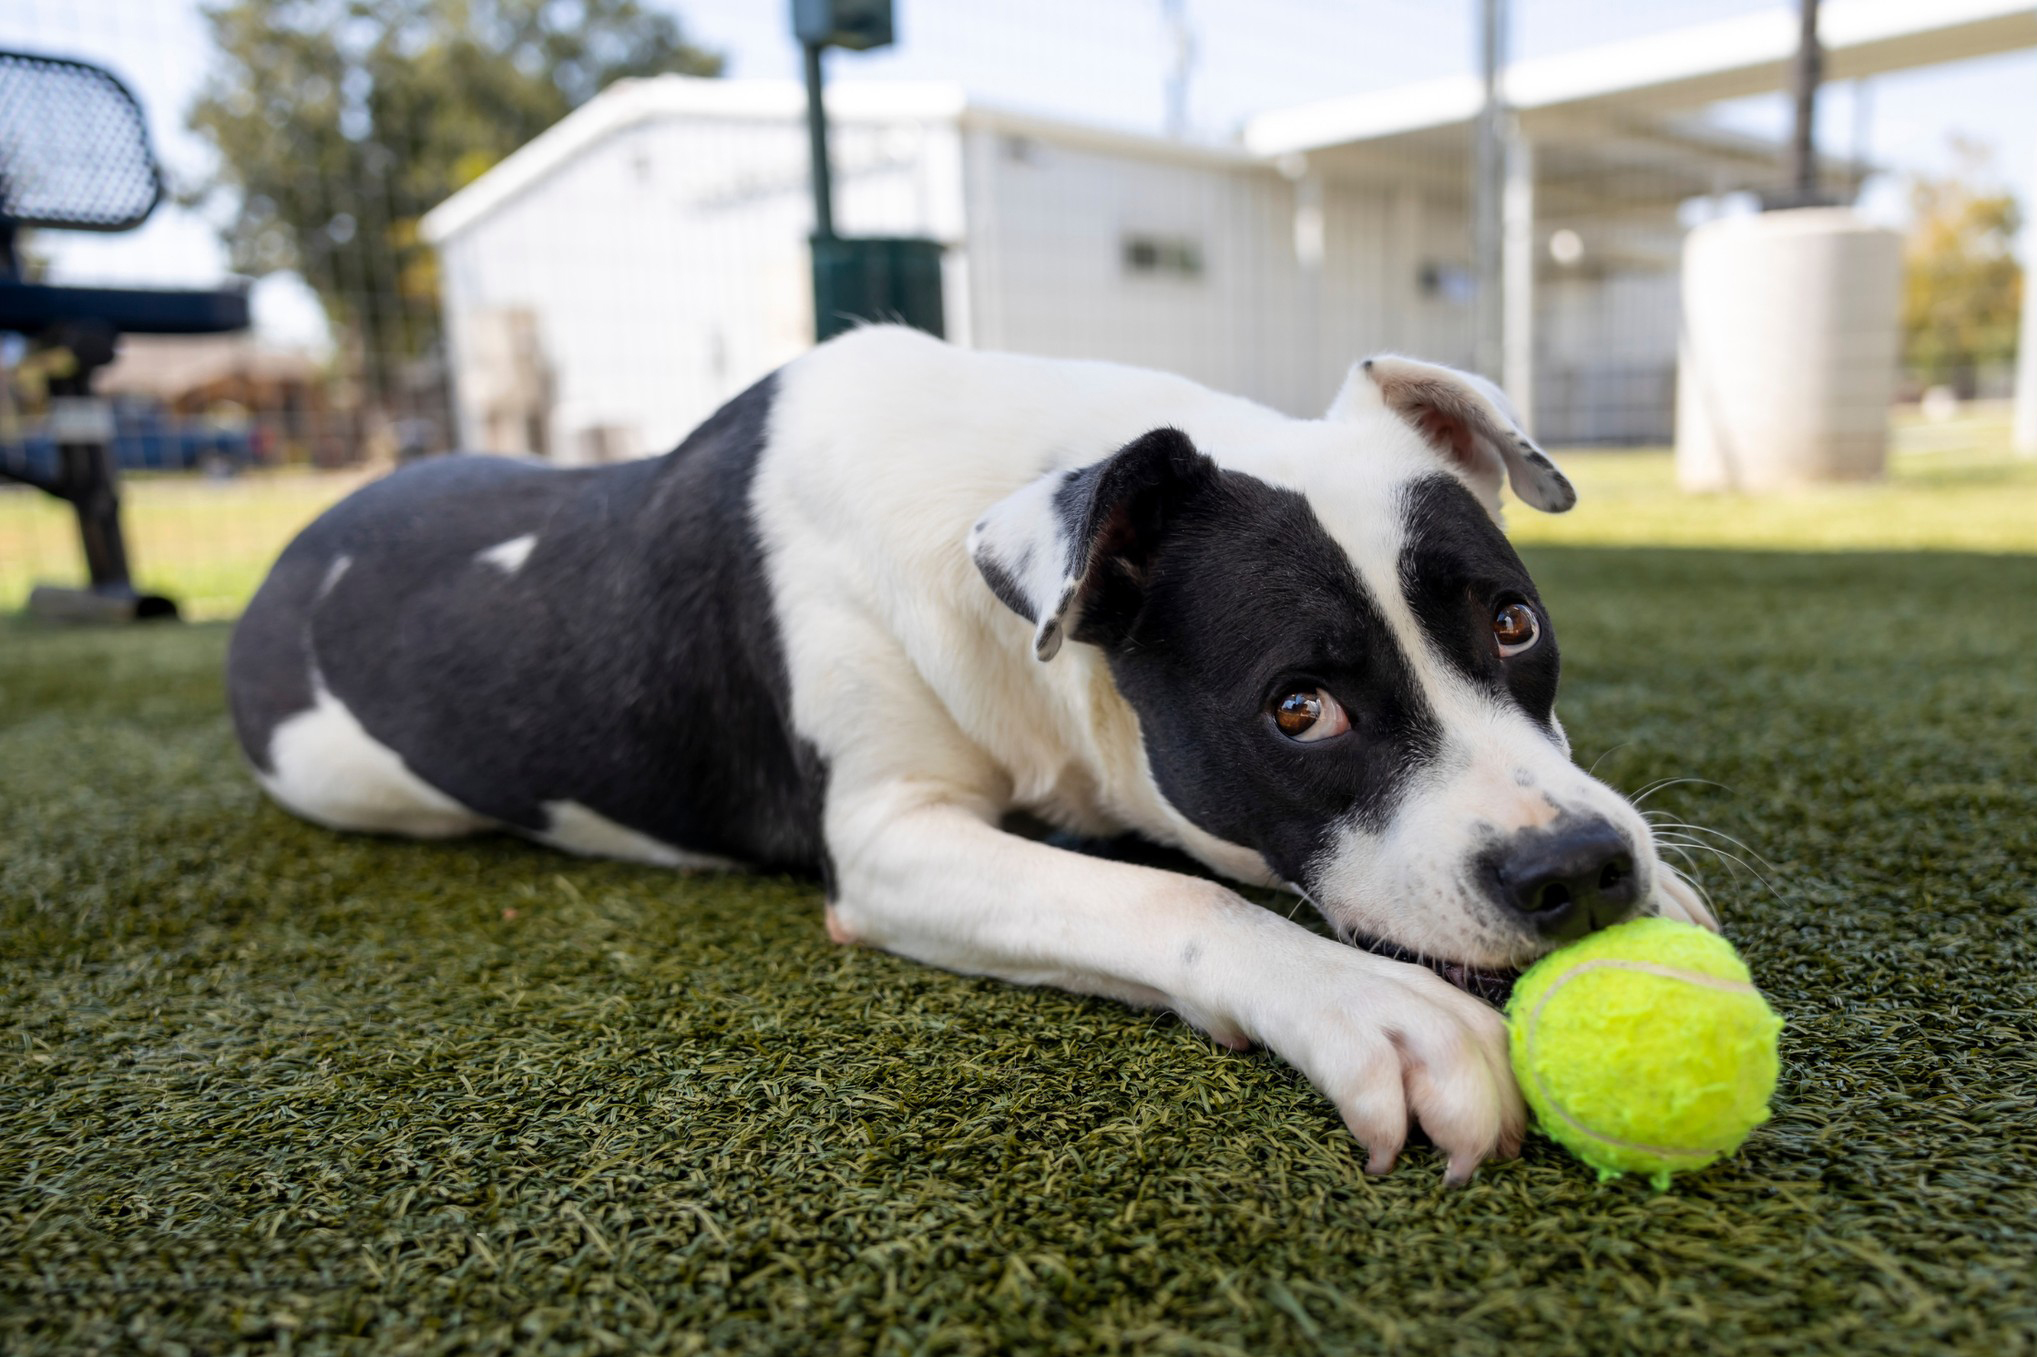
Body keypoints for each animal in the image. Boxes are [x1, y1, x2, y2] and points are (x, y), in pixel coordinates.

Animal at [231, 326, 1711, 1173]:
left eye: (1514, 621)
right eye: (1300, 709)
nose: (1583, 868)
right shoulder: (894, 843)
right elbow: (1168, 897)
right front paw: (1372, 1009)